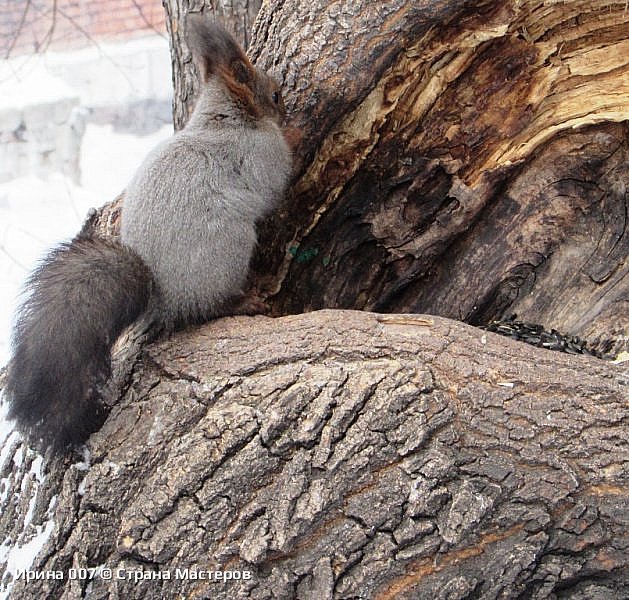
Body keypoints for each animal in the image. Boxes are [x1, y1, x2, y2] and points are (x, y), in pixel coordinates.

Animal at [3, 14, 294, 452]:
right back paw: (243, 301)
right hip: (230, 249)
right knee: (210, 307)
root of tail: (161, 296)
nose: (288, 103)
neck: (224, 118)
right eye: (274, 94)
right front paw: (298, 135)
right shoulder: (261, 158)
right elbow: (280, 182)